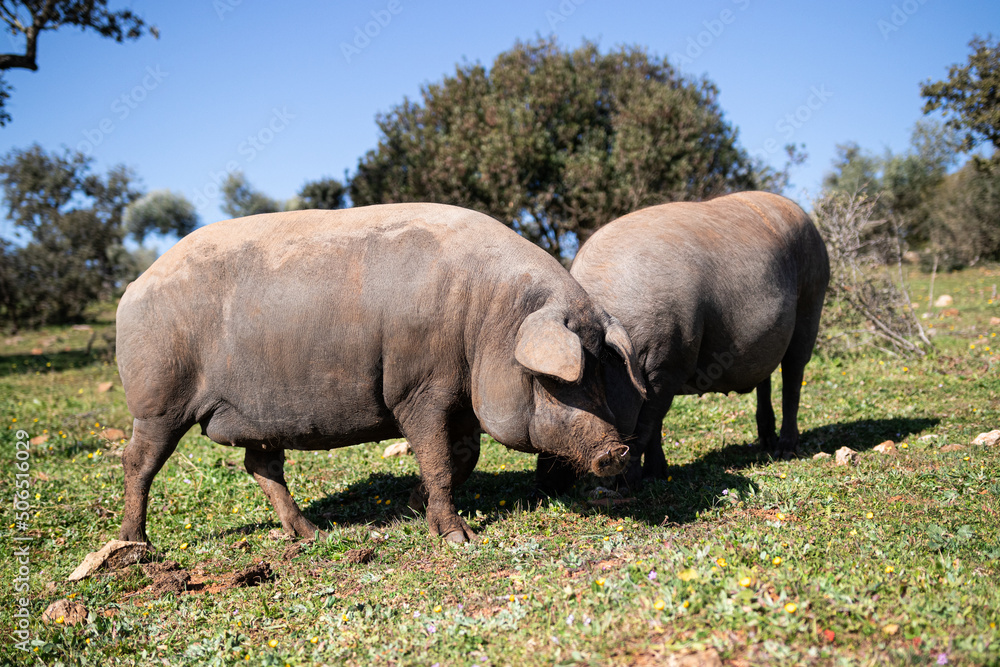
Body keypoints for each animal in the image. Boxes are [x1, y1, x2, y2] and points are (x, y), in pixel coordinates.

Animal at [115, 203, 645, 544]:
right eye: (558, 381)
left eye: (601, 372)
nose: (618, 450)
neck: (485, 323)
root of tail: (133, 286)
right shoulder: (417, 391)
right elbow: (438, 460)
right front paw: (458, 538)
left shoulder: (460, 398)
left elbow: (463, 458)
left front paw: (411, 510)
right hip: (158, 399)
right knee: (138, 461)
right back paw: (136, 546)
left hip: (255, 416)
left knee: (261, 467)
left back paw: (309, 536)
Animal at [537, 191, 829, 491]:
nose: (543, 482)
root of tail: (800, 212)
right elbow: (654, 426)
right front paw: (655, 474)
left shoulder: (667, 362)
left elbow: (647, 424)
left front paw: (627, 483)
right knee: (765, 377)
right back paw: (765, 445)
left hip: (812, 297)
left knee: (793, 375)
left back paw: (785, 450)